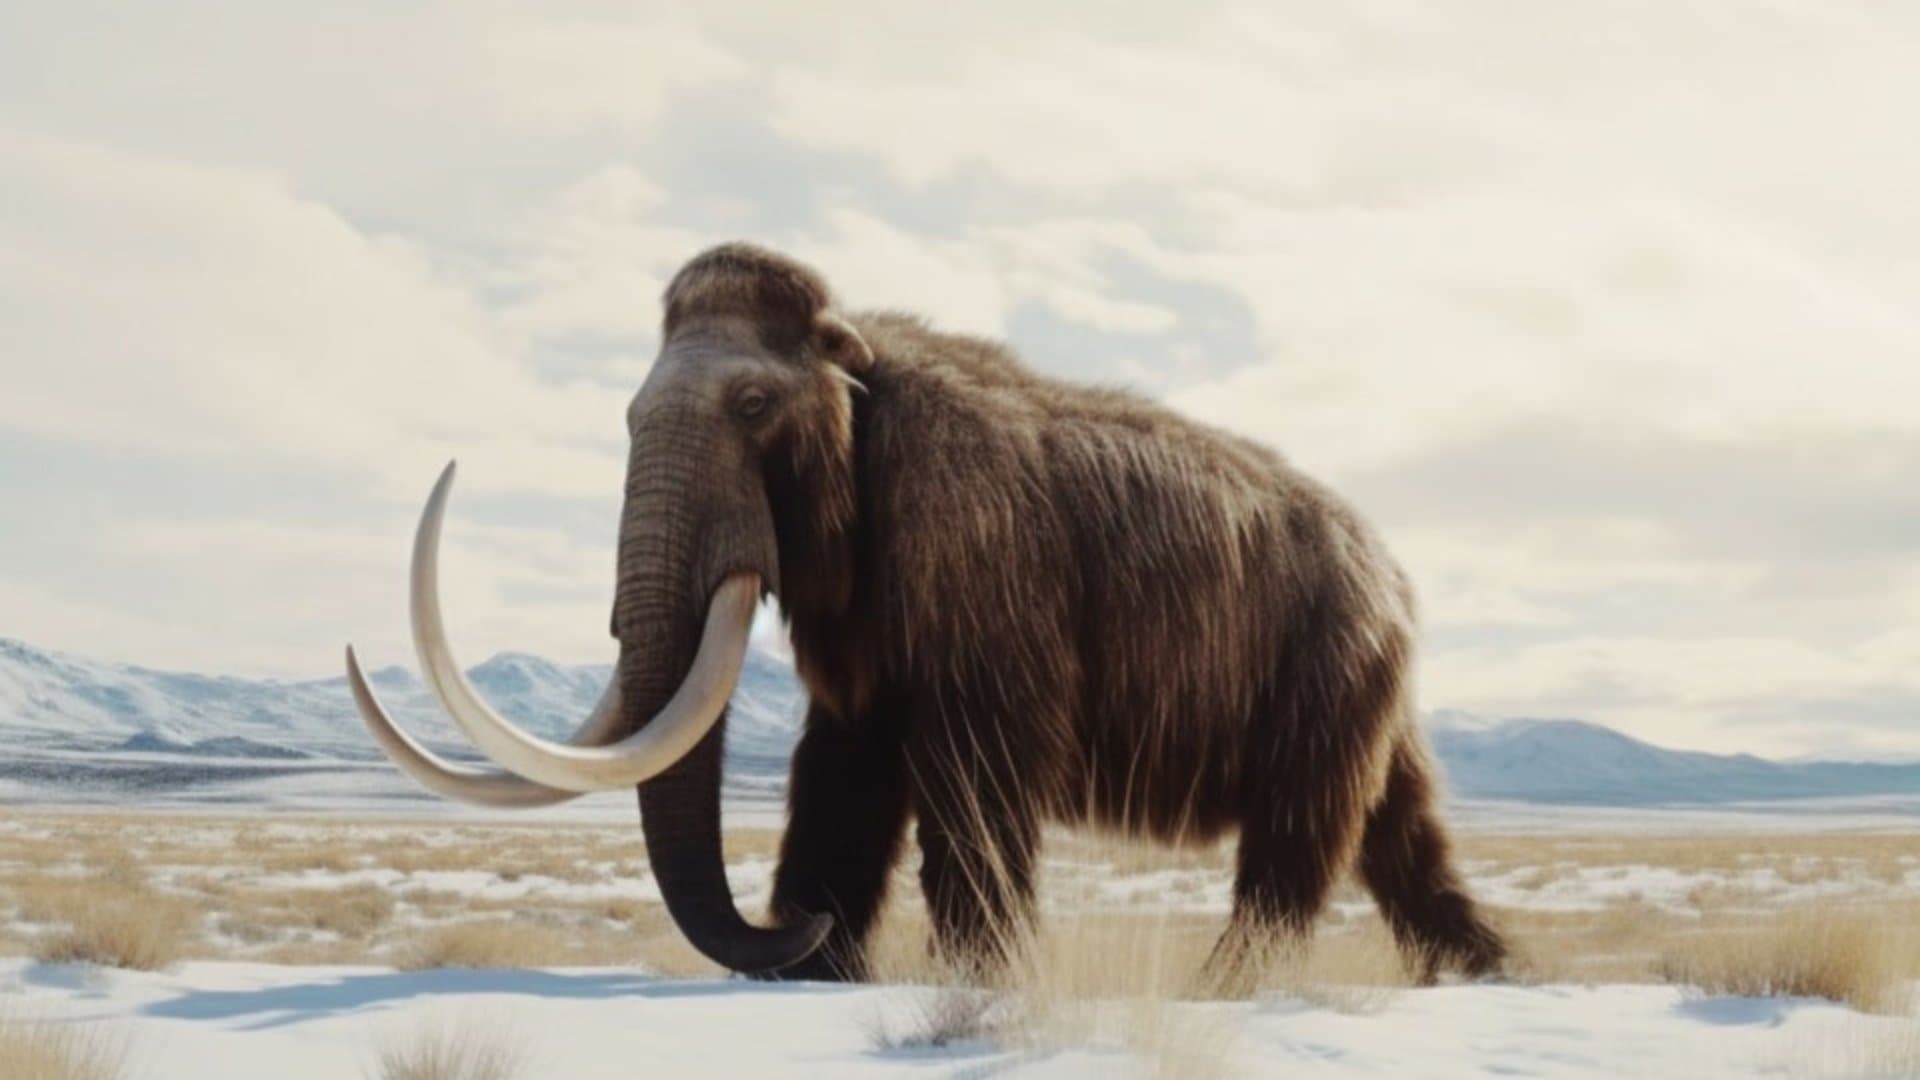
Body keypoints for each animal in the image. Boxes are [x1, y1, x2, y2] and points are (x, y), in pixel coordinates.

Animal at [346, 242, 1507, 984]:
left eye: (754, 407)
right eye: (629, 415)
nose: (793, 927)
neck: (853, 362)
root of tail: (1396, 576)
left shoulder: (978, 556)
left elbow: (978, 774)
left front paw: (975, 974)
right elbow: (845, 771)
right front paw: (820, 961)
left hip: (1330, 673)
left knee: (1296, 847)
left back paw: (1226, 984)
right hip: (1369, 704)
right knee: (1403, 834)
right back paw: (1481, 970)